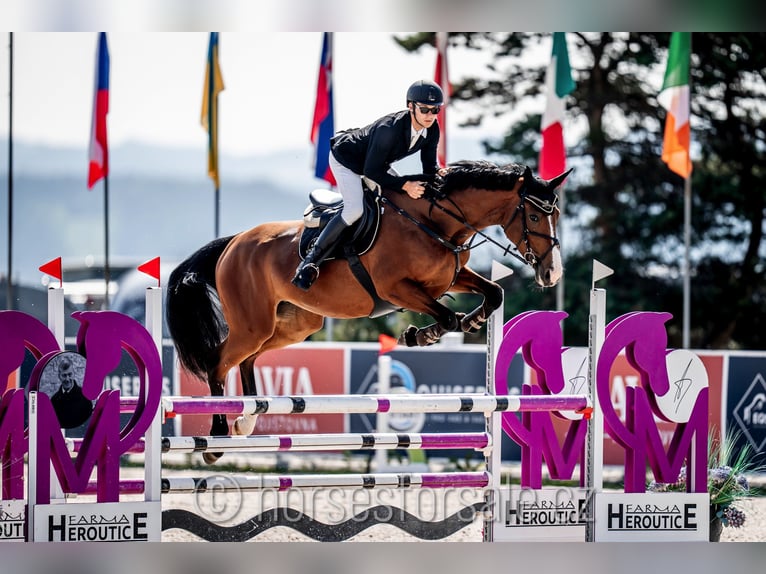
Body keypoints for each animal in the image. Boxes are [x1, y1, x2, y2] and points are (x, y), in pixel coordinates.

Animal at [166, 161, 568, 464]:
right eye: (534, 216)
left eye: (557, 215)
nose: (552, 274)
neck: (437, 223)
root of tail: (232, 243)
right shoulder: (397, 289)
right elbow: (446, 317)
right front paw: (420, 335)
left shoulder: (450, 279)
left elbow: (494, 293)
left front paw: (472, 321)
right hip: (253, 324)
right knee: (218, 363)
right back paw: (218, 437)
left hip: (294, 323)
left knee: (247, 360)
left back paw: (247, 419)